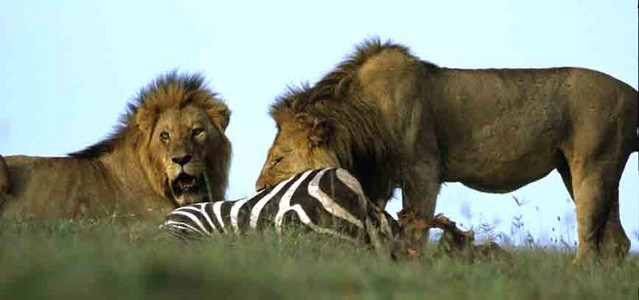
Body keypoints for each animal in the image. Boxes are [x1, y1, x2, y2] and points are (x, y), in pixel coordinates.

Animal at [256, 39, 639, 260]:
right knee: (616, 242)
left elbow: (415, 230)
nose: (258, 188)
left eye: (277, 158)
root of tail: (632, 92)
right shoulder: (376, 180)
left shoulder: (423, 172)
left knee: (589, 239)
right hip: (586, 170)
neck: (362, 118)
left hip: (592, 165)